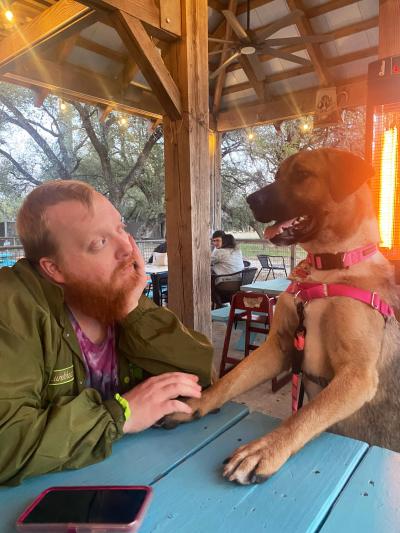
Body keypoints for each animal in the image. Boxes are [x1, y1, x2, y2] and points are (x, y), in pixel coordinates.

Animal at [163, 148, 400, 484]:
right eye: (277, 175)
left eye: (302, 174)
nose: (249, 199)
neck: (329, 267)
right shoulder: (279, 346)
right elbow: (230, 381)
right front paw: (197, 403)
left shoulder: (358, 374)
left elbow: (304, 415)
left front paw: (264, 449)